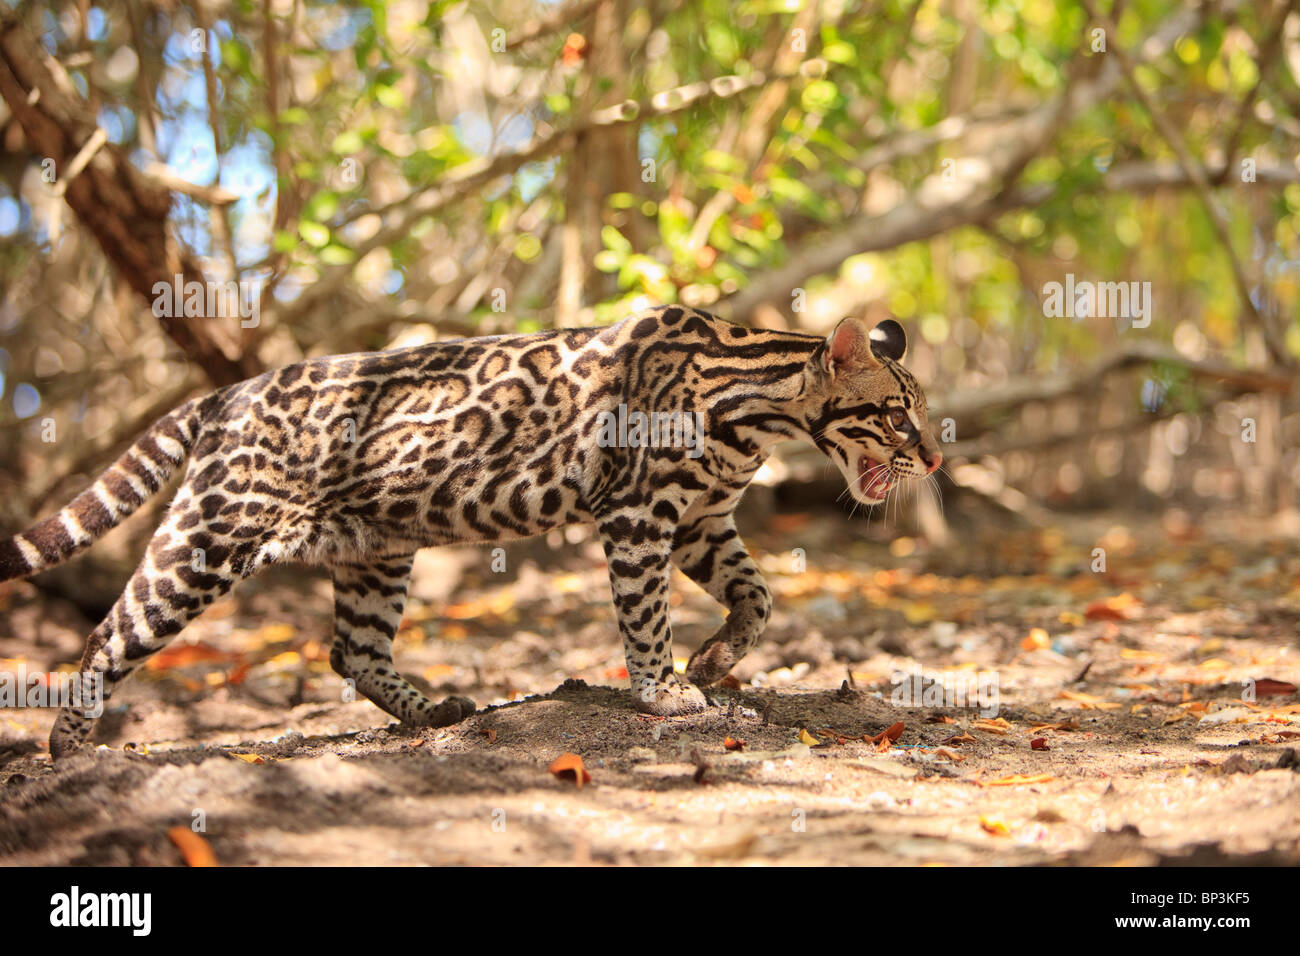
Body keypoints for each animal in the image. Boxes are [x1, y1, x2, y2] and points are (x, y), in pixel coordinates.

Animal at [0, 304, 941, 754]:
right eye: (897, 416)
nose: (935, 457)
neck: (754, 407)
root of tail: (227, 391)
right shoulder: (640, 516)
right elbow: (644, 616)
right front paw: (664, 687)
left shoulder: (704, 520)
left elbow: (760, 597)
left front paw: (715, 661)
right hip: (210, 536)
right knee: (108, 633)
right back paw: (69, 747)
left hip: (376, 546)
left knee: (352, 649)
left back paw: (432, 713)